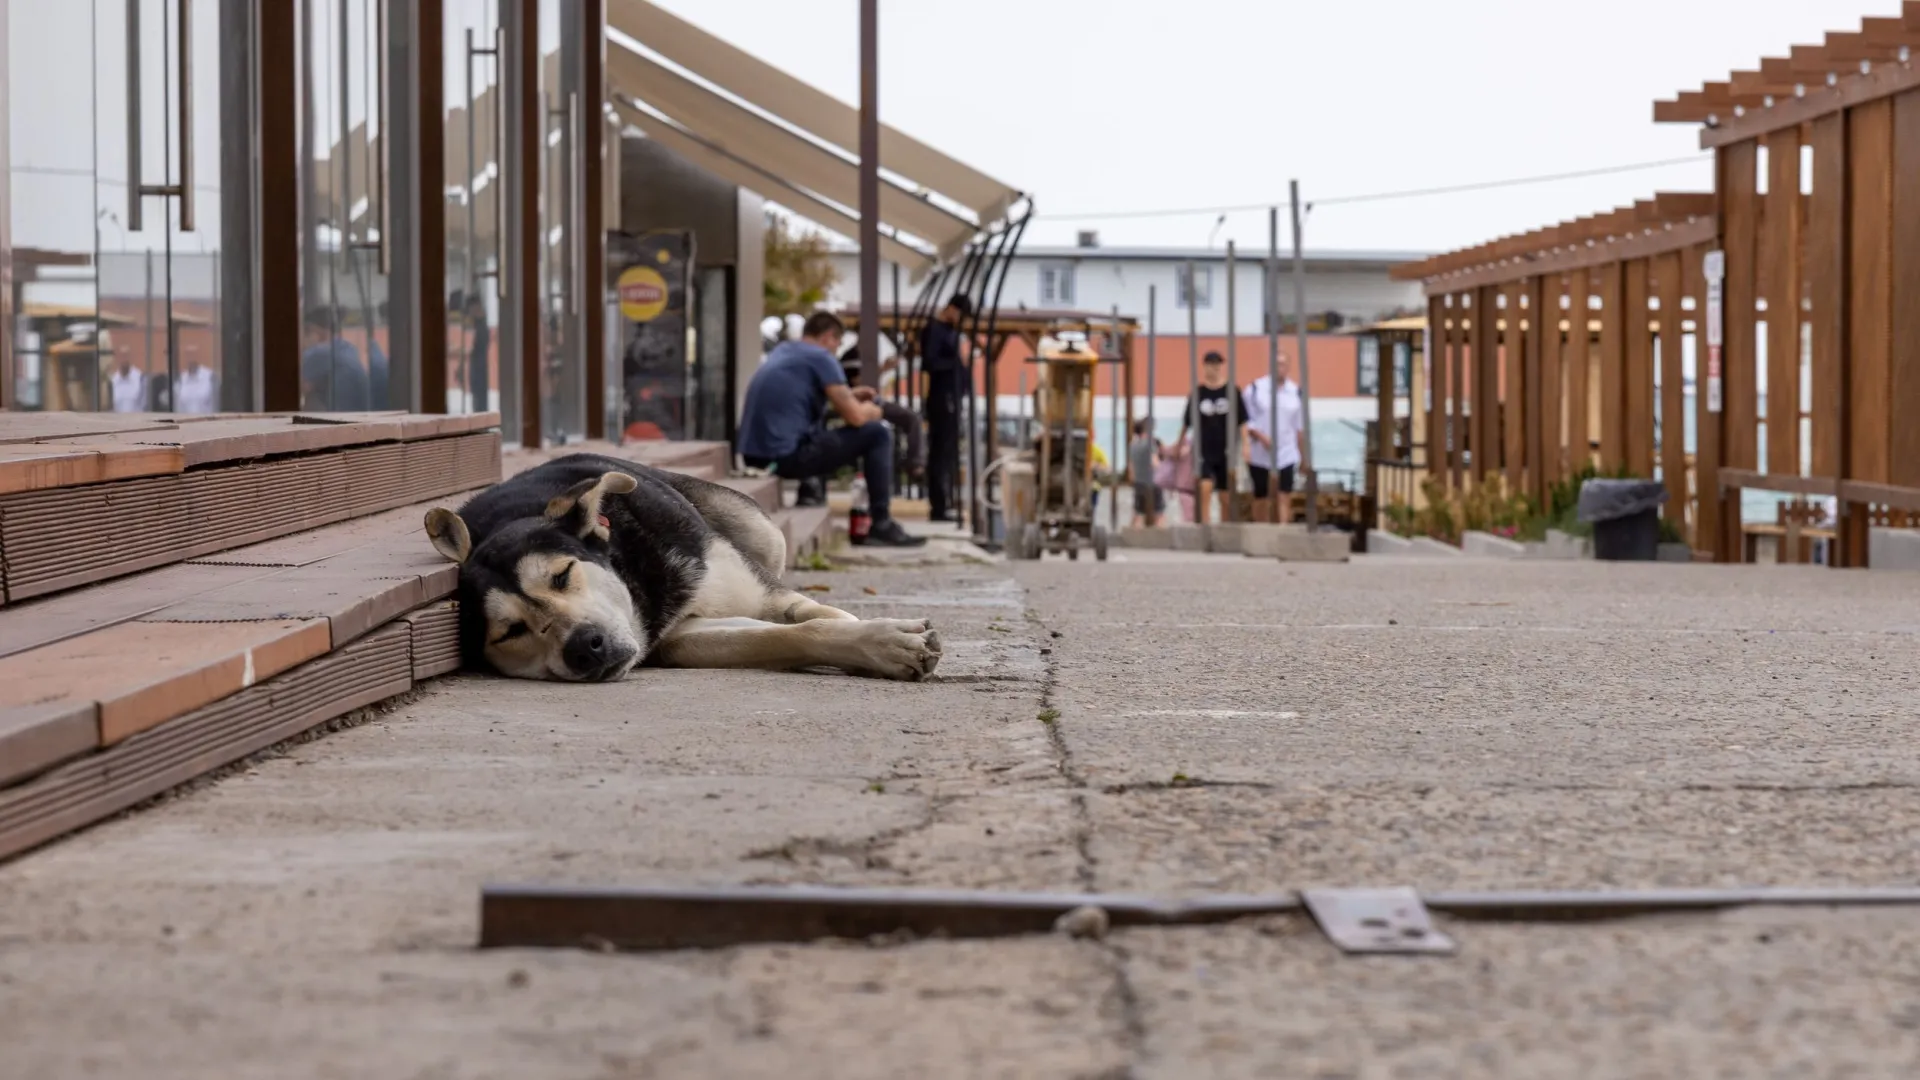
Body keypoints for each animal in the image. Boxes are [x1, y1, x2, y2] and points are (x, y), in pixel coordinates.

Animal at [432, 453, 948, 680]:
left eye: (562, 576)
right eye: (510, 632)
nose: (585, 648)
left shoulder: (752, 589)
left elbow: (814, 613)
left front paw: (875, 631)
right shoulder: (676, 638)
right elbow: (782, 636)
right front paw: (883, 645)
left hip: (763, 530)